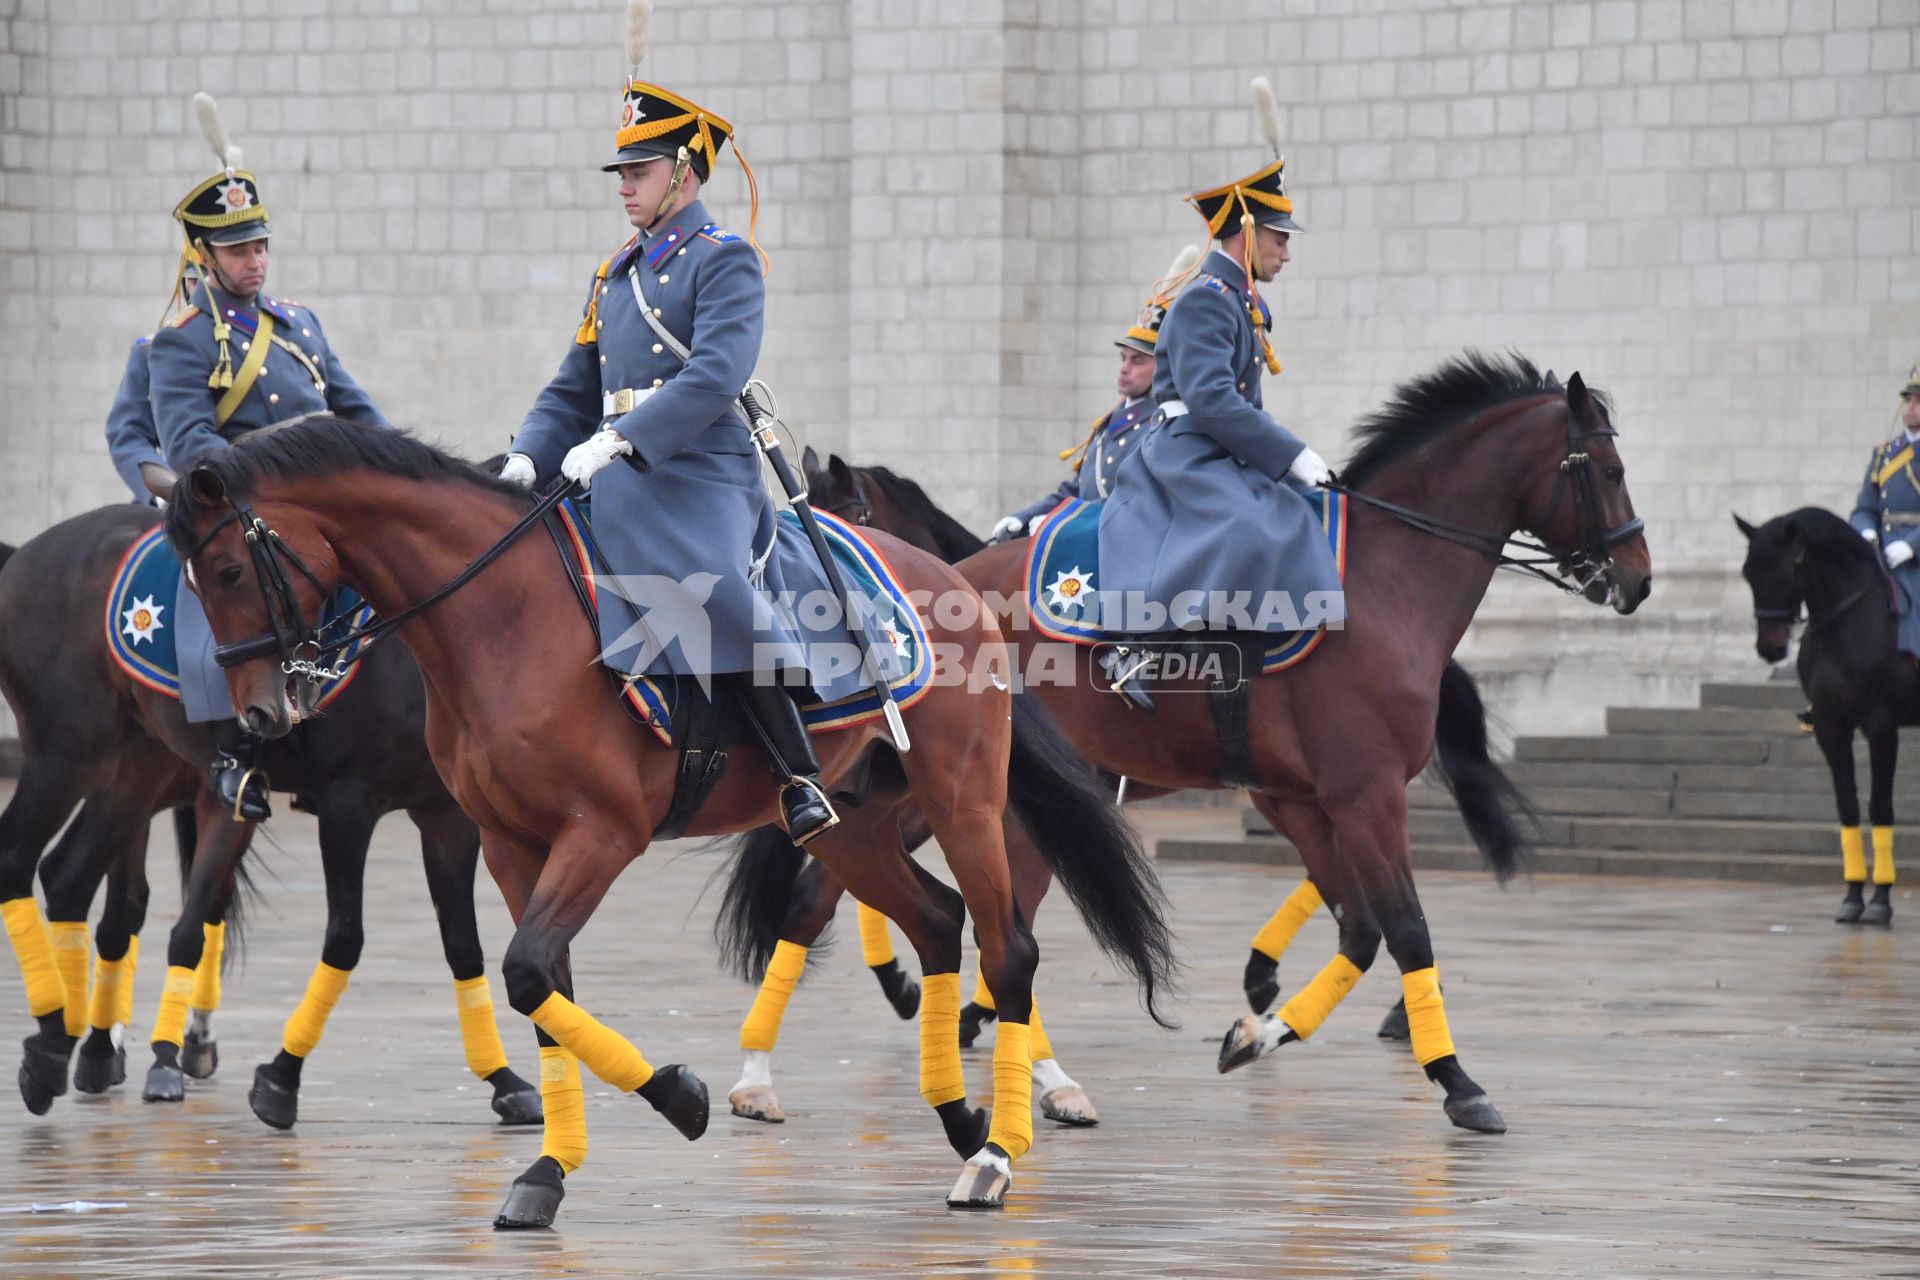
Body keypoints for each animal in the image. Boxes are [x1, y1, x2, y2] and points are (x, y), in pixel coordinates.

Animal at [1, 506, 541, 1128]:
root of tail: (28, 553)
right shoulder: (347, 803)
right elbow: (343, 937)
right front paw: (280, 1079)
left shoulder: (446, 814)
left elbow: (462, 943)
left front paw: (502, 1079)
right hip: (65, 752)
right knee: (20, 858)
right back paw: (60, 1042)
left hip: (133, 768)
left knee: (70, 877)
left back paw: (60, 1048)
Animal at [157, 418, 1175, 1220]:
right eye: (193, 583)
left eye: (227, 567)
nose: (258, 718)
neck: (501, 621)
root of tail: (950, 575)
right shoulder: (509, 844)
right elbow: (542, 990)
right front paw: (551, 1169)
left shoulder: (601, 834)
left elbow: (527, 972)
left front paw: (678, 1098)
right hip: (849, 825)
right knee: (935, 922)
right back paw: (961, 1118)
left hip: (964, 798)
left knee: (1008, 951)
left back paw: (996, 1154)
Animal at [733, 347, 1651, 1128]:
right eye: (1611, 471)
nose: (1639, 580)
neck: (1384, 580)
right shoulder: (1365, 794)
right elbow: (1405, 926)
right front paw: (1457, 1080)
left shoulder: (1304, 799)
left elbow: (1361, 927)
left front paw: (1258, 1030)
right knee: (858, 900)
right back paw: (789, 1067)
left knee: (878, 896)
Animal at [1735, 506, 1912, 924]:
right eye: (1747, 572)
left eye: (1787, 569)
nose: (1769, 648)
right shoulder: (1831, 726)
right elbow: (1847, 806)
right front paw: (1853, 896)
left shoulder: (1882, 725)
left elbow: (1880, 805)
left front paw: (1881, 899)